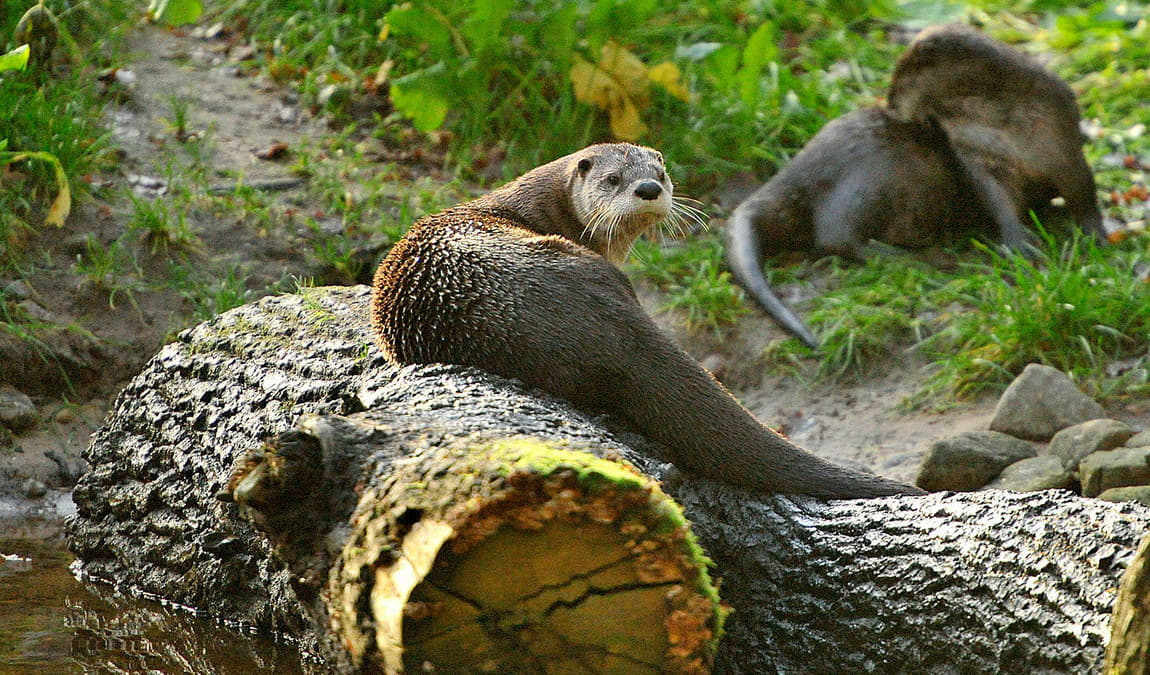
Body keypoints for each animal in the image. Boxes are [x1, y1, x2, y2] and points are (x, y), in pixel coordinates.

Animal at [726, 22, 1104, 349]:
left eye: (900, 82)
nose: (889, 105)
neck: (1007, 127)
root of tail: (793, 174)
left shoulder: (1062, 145)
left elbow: (1083, 192)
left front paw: (1095, 235)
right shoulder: (979, 161)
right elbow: (1002, 206)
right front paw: (1020, 246)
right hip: (876, 175)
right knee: (836, 235)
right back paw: (931, 259)